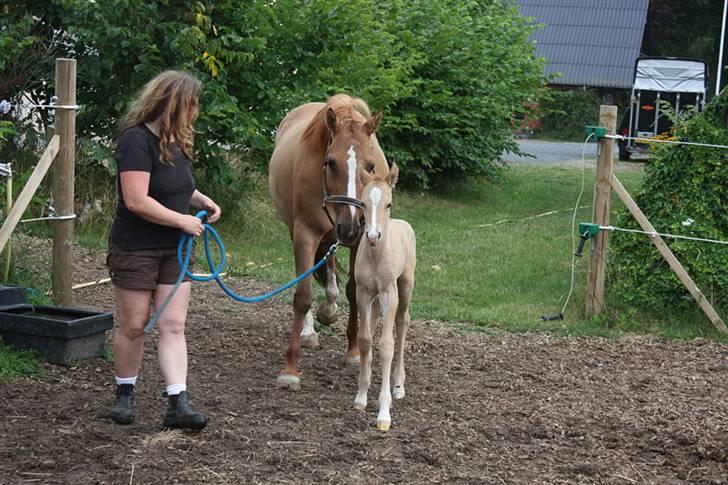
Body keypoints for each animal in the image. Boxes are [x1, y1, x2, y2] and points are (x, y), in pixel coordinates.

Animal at [268, 94, 392, 390]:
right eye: (331, 162)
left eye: (371, 165)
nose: (349, 226)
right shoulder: (305, 235)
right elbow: (303, 295)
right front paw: (290, 369)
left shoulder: (359, 239)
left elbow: (354, 292)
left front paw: (354, 352)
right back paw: (310, 330)